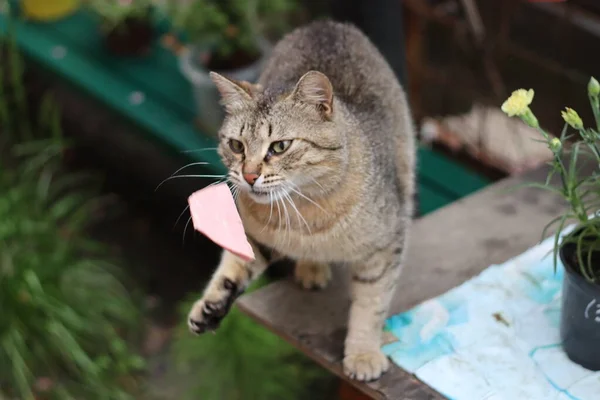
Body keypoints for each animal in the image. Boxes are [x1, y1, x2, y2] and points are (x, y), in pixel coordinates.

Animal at [190, 18, 414, 382]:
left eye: (280, 146)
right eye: (236, 145)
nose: (248, 176)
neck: (304, 211)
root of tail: (326, 23)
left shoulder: (385, 246)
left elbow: (371, 304)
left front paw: (363, 353)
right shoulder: (253, 236)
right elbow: (231, 270)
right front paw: (210, 307)